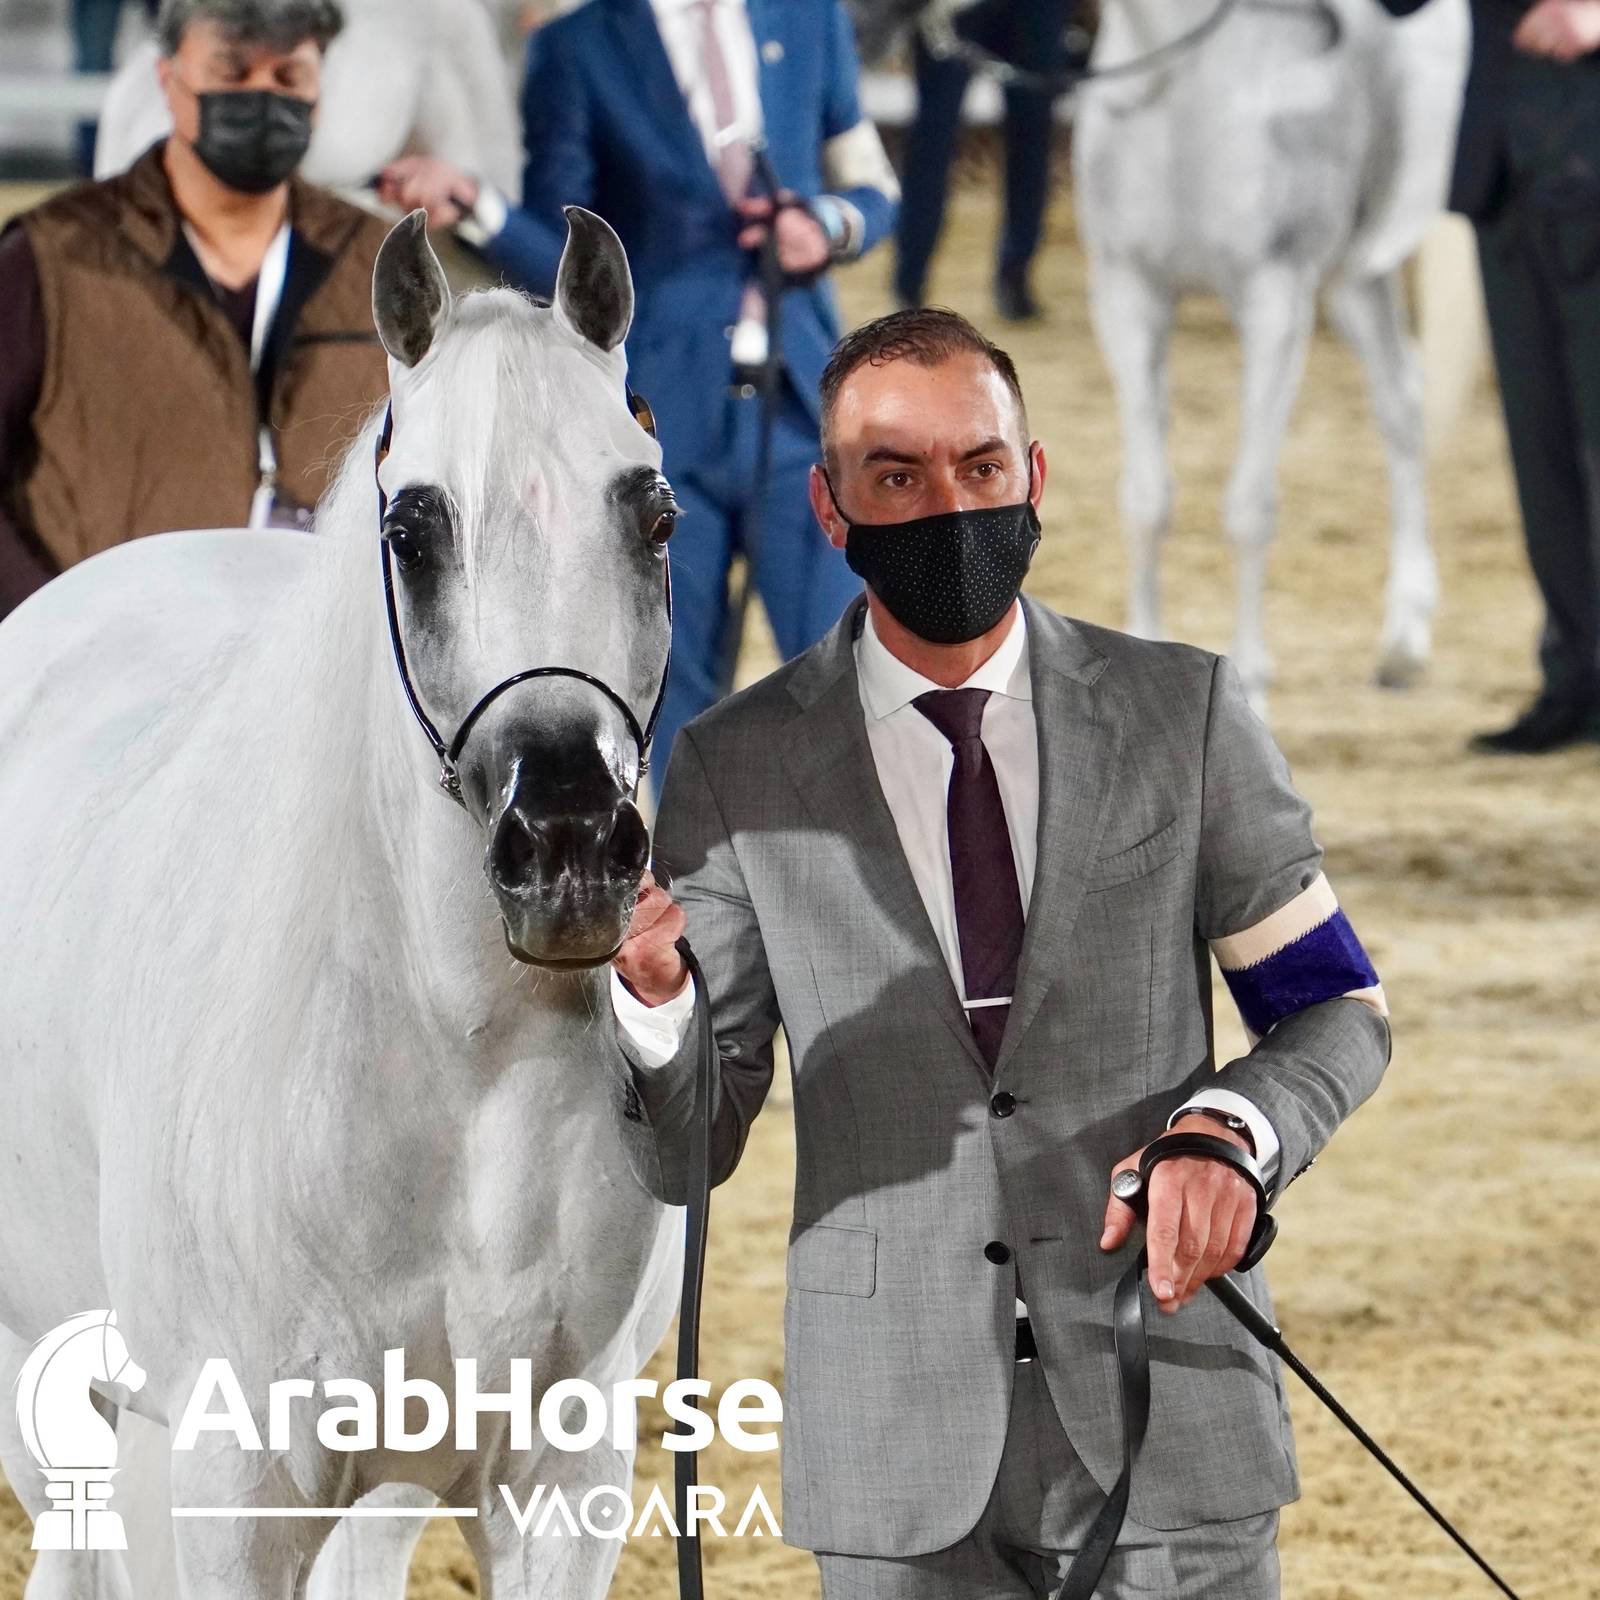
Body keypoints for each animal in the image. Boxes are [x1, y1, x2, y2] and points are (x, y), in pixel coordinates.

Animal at [0, 207, 683, 1599]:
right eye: (413, 532)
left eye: (654, 519)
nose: (570, 844)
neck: (470, 1068)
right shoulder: (220, 1484)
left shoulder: (559, 1478)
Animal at [1072, 0, 1470, 707]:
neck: (1186, 81)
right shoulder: (1129, 293)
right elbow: (1145, 499)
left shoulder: (1275, 296)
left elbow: (1250, 508)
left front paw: (1250, 685)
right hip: (1353, 279)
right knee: (1402, 402)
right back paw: (1403, 640)